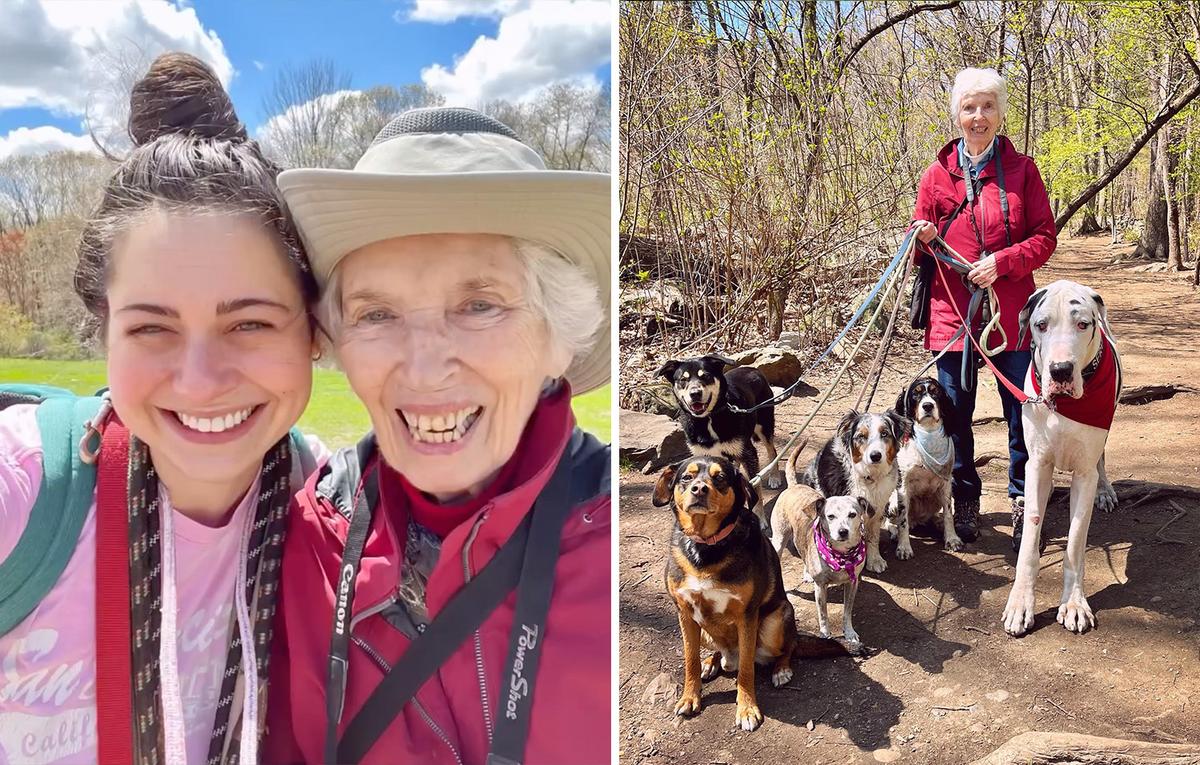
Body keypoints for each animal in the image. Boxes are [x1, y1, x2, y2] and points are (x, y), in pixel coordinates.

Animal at [657, 354, 787, 498]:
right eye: (683, 380)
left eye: (706, 376)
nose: (695, 393)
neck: (708, 419)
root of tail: (754, 369)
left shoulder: (748, 454)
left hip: (764, 425)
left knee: (772, 451)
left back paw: (774, 477)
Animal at [657, 455, 844, 729]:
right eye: (687, 477)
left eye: (720, 478)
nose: (699, 489)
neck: (707, 548)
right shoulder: (685, 613)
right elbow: (690, 661)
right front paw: (690, 698)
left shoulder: (747, 615)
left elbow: (746, 669)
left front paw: (747, 710)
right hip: (704, 629)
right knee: (717, 651)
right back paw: (711, 663)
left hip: (776, 619)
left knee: (788, 646)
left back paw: (781, 670)